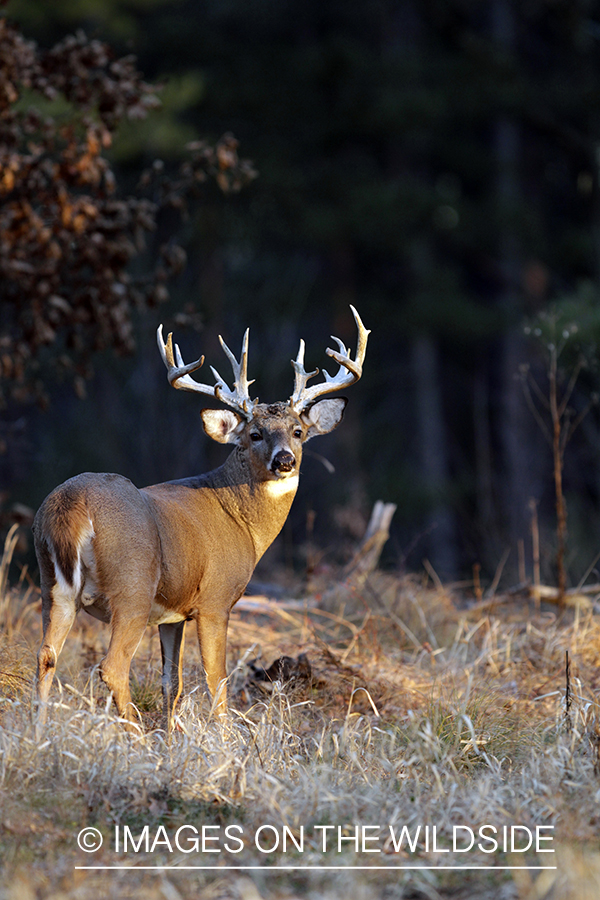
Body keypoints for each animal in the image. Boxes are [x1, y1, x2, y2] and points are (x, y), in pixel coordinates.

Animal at [34, 308, 370, 732]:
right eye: (254, 434)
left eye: (298, 431)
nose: (284, 460)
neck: (242, 521)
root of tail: (72, 503)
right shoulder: (215, 599)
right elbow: (218, 680)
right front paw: (226, 740)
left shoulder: (172, 614)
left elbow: (171, 682)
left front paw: (172, 737)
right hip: (132, 587)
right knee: (112, 667)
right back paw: (136, 737)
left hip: (52, 585)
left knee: (46, 655)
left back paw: (38, 731)